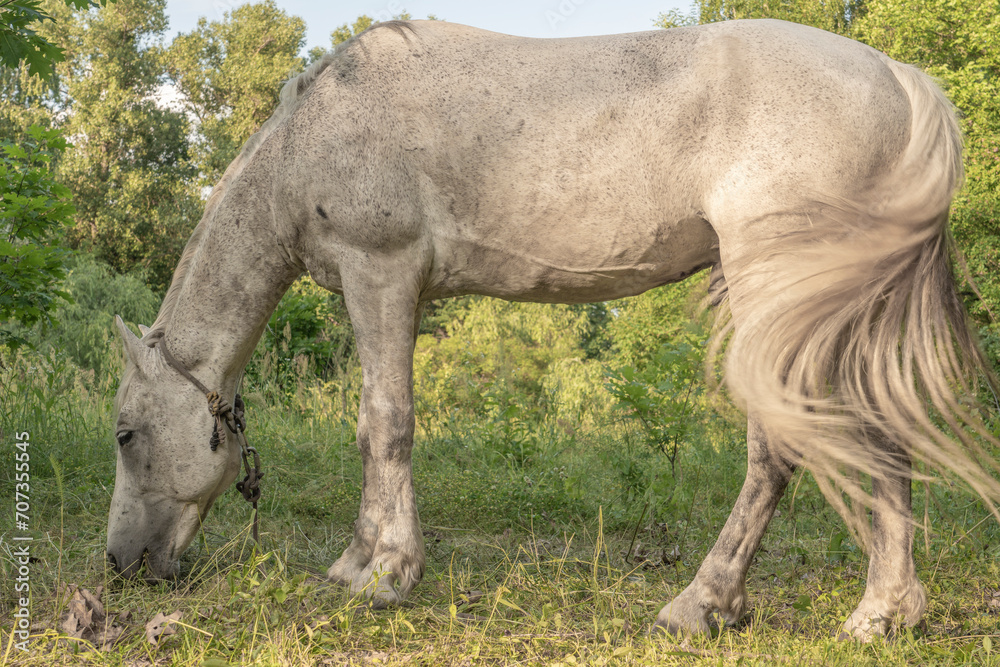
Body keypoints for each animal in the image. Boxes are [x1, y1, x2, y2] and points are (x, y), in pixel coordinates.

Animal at [107, 18, 1000, 640]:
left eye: (124, 433)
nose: (120, 564)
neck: (313, 134)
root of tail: (899, 79)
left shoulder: (381, 274)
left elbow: (382, 423)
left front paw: (387, 573)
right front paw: (357, 560)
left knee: (779, 446)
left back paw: (702, 603)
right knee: (880, 439)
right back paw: (883, 614)